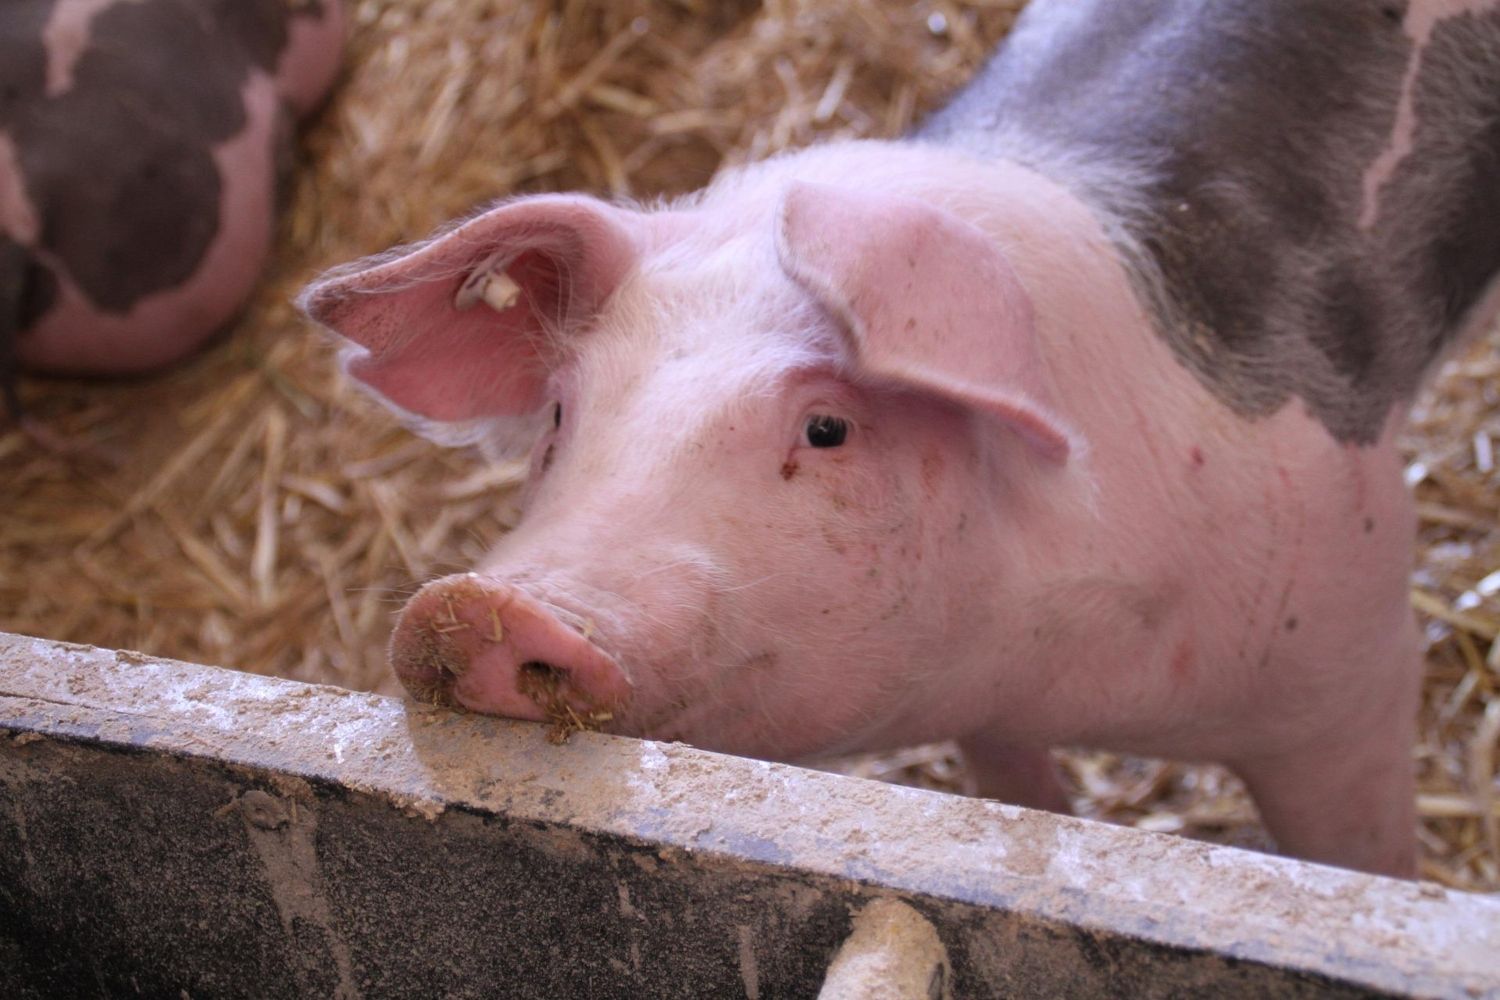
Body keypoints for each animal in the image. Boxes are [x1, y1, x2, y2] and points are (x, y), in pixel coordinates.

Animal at [298, 0, 1500, 875]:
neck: (1045, 650)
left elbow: (1365, 862)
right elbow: (1016, 787)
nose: (476, 606)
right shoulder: (991, 709)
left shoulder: (1351, 665)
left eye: (828, 427)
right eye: (560, 413)